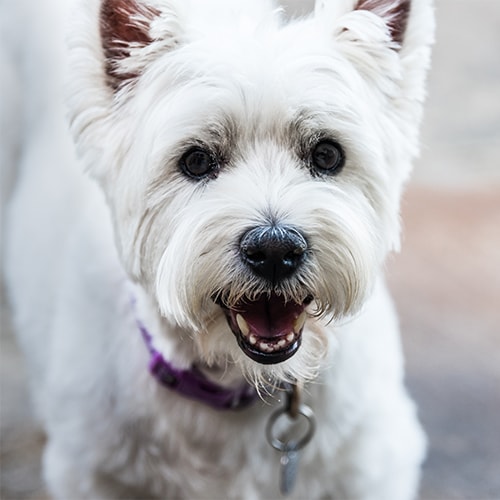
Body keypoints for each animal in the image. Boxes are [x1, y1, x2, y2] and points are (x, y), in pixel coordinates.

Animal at [2, 0, 434, 496]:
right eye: (196, 160)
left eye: (327, 154)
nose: (275, 250)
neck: (236, 384)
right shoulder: (93, 474)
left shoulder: (373, 465)